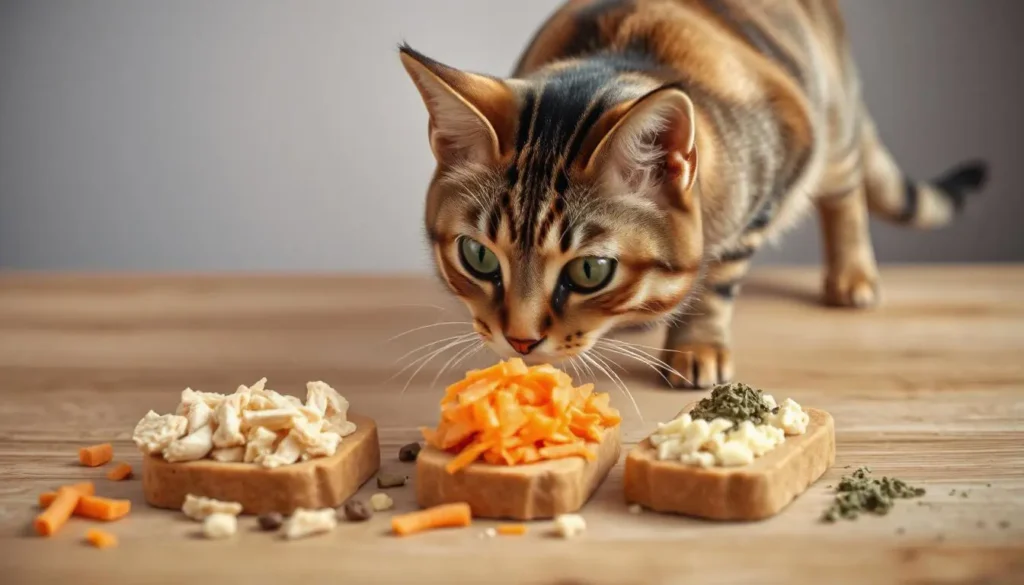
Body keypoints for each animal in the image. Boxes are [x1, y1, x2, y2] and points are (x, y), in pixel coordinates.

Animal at [397, 1, 983, 393]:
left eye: (590, 271)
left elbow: (716, 279)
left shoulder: (783, 159)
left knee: (846, 191)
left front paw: (696, 344)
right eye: (477, 256)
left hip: (832, 123)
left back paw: (852, 277)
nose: (519, 341)